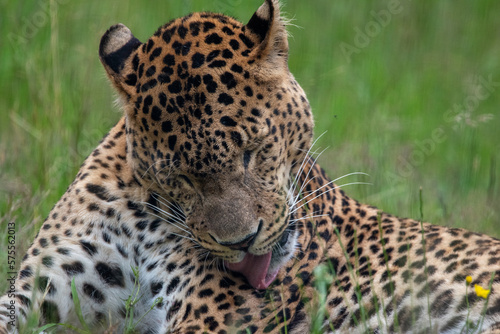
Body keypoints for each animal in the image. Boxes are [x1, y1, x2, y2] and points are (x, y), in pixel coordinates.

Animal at [0, 0, 500, 334]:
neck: (144, 212)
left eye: (252, 151)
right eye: (178, 178)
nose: (241, 241)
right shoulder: (42, 289)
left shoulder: (213, 319)